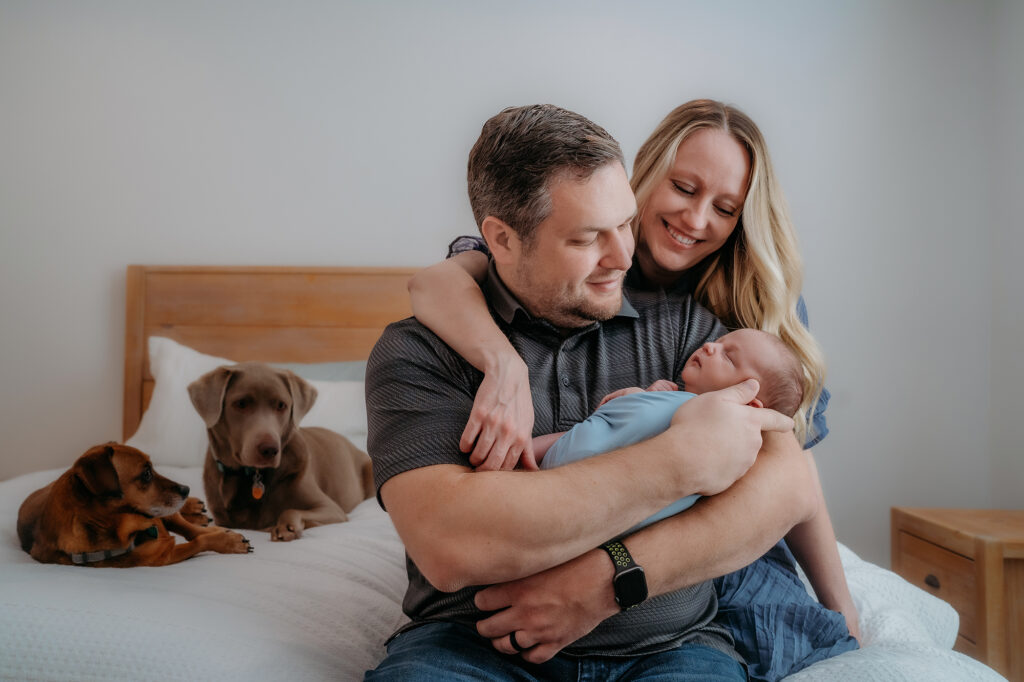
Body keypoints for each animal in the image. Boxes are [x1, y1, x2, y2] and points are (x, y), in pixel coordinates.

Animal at [16, 440, 251, 561]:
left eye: (153, 468)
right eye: (146, 474)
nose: (186, 489)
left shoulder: (162, 519)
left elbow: (193, 532)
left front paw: (224, 535)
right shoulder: (165, 555)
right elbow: (199, 541)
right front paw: (227, 541)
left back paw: (196, 510)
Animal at [187, 360, 372, 540]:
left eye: (281, 405)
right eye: (241, 404)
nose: (270, 449)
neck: (252, 475)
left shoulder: (330, 508)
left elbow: (290, 509)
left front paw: (285, 527)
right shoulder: (222, 519)